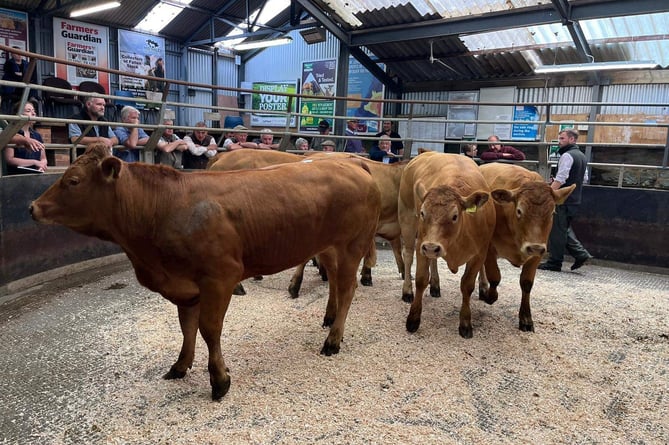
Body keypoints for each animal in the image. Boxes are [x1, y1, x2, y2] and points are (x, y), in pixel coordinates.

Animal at [31, 145, 380, 398]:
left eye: (73, 181)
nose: (32, 207)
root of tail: (351, 163)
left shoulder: (220, 278)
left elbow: (209, 329)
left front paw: (219, 379)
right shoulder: (184, 286)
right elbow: (186, 327)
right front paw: (181, 364)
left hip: (351, 245)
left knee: (348, 288)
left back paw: (333, 340)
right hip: (328, 247)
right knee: (335, 283)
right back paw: (329, 319)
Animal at [396, 152, 496, 336]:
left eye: (454, 216)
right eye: (423, 213)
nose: (431, 247)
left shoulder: (479, 253)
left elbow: (467, 285)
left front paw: (465, 323)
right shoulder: (421, 242)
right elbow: (421, 279)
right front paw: (413, 319)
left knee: (433, 260)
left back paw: (436, 285)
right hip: (406, 218)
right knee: (408, 255)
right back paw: (407, 290)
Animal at [478, 162, 576, 330]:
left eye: (552, 213)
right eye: (519, 211)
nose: (534, 247)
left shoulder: (537, 254)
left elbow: (527, 283)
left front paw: (525, 318)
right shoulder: (489, 248)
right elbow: (495, 277)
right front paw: (491, 296)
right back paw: (483, 288)